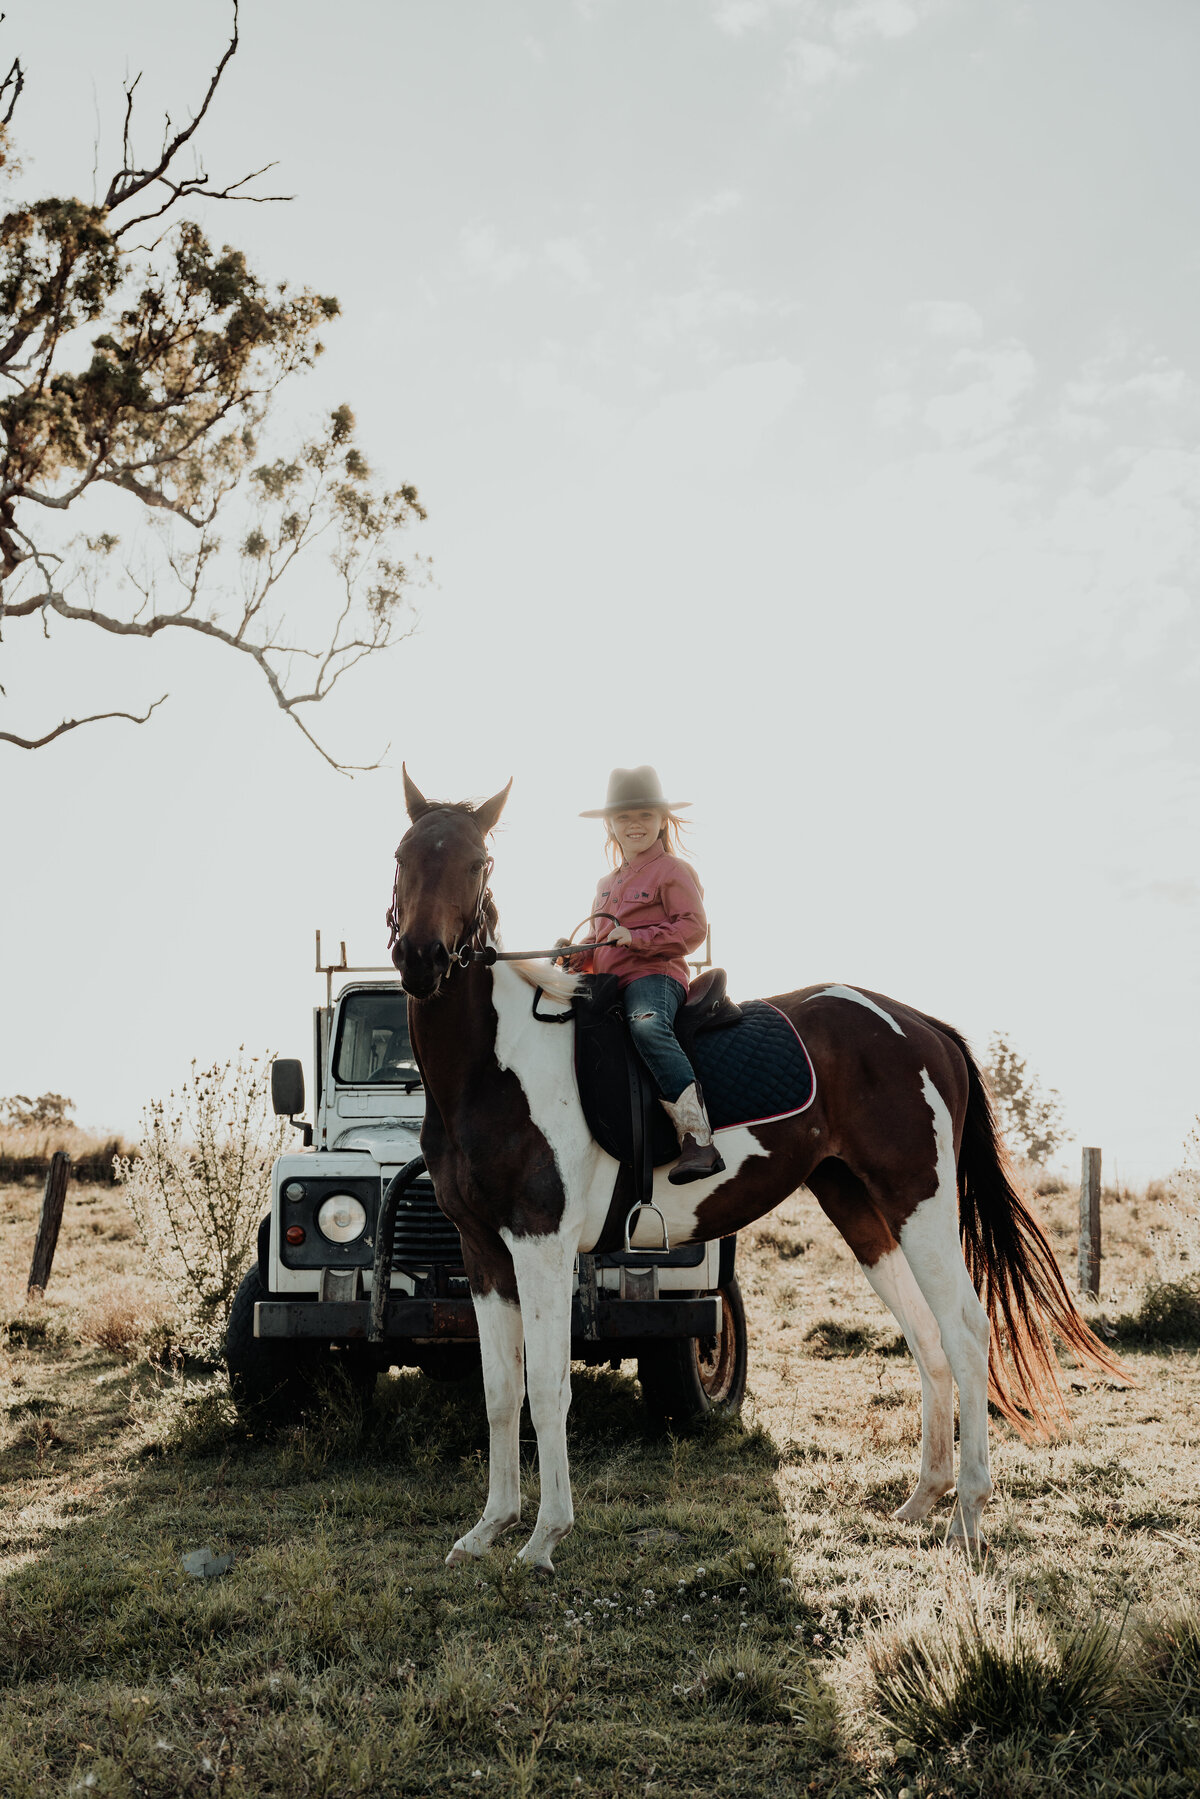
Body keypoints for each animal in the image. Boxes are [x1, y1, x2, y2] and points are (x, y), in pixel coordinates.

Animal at [385, 773, 1129, 1575]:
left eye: (476, 863)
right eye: (403, 856)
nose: (421, 958)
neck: (496, 1066)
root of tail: (921, 1026)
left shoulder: (542, 1245)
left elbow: (547, 1392)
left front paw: (544, 1538)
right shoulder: (483, 1251)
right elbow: (500, 1390)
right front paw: (486, 1529)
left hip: (919, 1202)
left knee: (964, 1329)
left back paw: (968, 1514)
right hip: (863, 1212)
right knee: (925, 1335)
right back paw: (922, 1500)